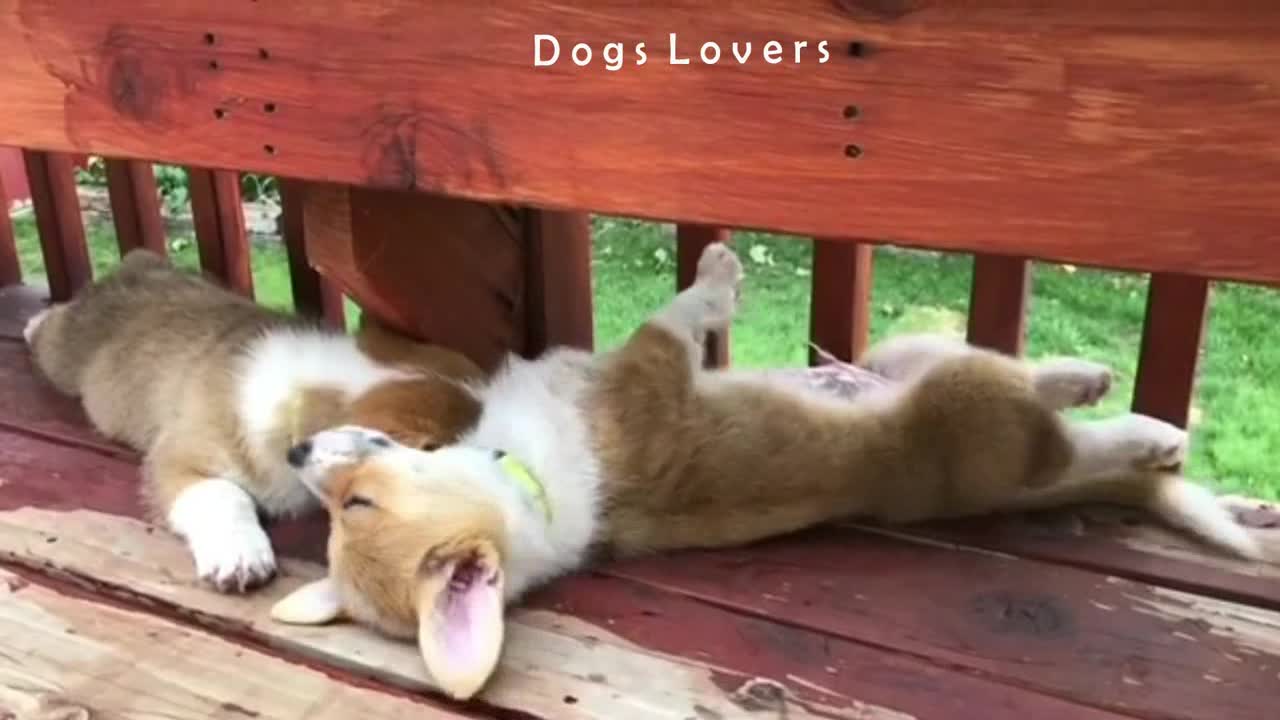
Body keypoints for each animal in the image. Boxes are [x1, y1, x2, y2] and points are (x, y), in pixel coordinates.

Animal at [24, 249, 483, 591]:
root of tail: (137, 265)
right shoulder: (180, 458)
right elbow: (223, 494)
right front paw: (240, 557)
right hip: (64, 355)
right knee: (52, 328)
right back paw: (32, 324)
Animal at [275, 242, 1264, 702]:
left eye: (350, 504)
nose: (295, 456)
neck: (528, 480)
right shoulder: (652, 367)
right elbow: (682, 310)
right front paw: (717, 272)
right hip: (967, 411)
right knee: (1053, 430)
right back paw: (1133, 418)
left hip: (908, 352)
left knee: (996, 380)